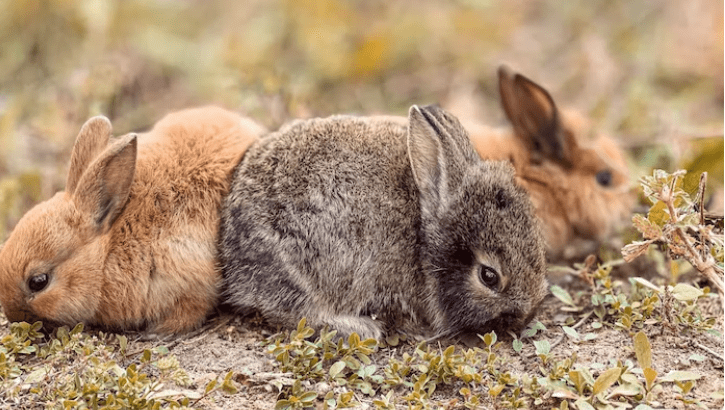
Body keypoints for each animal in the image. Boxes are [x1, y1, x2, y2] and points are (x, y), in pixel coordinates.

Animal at [0, 107, 264, 334]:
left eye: (38, 281)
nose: (13, 316)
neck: (106, 253)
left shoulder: (187, 274)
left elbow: (189, 311)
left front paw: (157, 333)